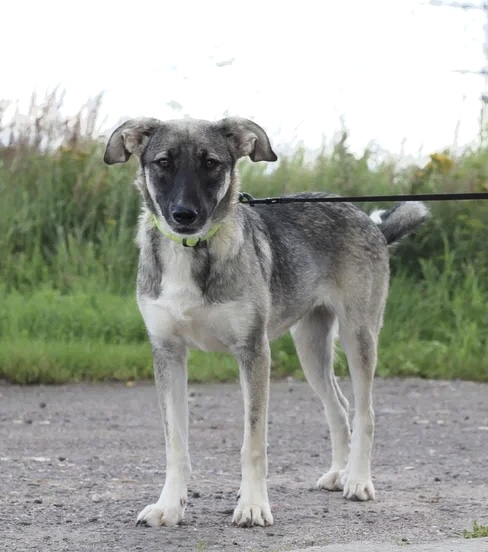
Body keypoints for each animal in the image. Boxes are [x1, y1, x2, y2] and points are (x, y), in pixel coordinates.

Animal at [103, 117, 429, 528]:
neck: (192, 255)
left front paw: (253, 505)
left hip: (359, 337)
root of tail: (372, 223)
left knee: (365, 412)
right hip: (310, 347)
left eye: (211, 163)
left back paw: (357, 480)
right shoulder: (168, 353)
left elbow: (253, 443)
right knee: (338, 406)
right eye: (163, 162)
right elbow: (175, 443)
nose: (184, 216)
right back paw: (338, 474)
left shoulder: (254, 352)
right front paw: (169, 506)